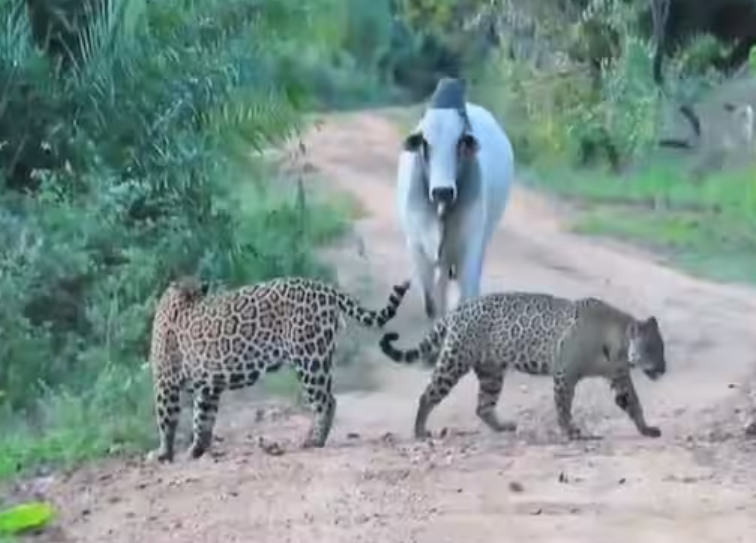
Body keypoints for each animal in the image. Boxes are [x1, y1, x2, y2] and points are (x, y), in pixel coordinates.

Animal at [148, 275, 411, 462]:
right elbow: (202, 419)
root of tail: (324, 288)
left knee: (326, 401)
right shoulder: (208, 388)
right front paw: (196, 450)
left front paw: (162, 454)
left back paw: (313, 441)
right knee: (328, 399)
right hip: (319, 357)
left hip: (310, 358)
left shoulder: (165, 382)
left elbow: (166, 419)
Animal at [378, 291, 666, 441]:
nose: (663, 369)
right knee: (428, 395)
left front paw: (646, 429)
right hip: (453, 362)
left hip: (491, 372)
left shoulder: (619, 376)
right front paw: (571, 431)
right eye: (651, 349)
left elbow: (633, 403)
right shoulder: (565, 374)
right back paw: (420, 431)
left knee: (483, 406)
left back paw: (503, 427)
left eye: (661, 348)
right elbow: (564, 406)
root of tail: (459, 309)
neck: (618, 344)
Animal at [395, 76, 515, 320]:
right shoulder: (417, 247)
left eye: (460, 142)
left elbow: (466, 296)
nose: (443, 191)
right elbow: (431, 302)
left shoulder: (471, 246)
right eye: (425, 143)